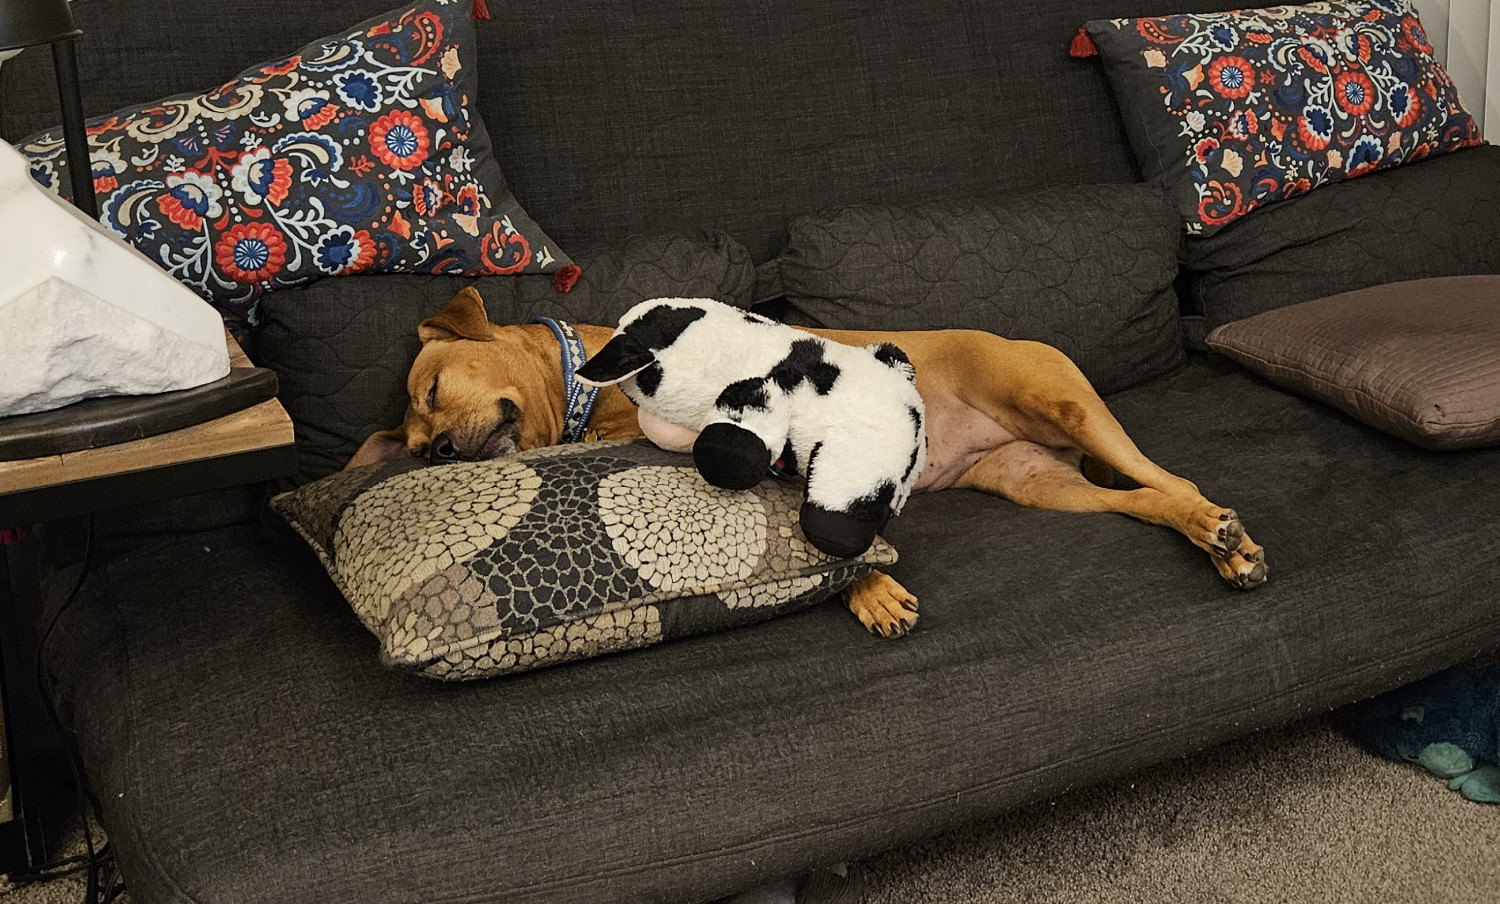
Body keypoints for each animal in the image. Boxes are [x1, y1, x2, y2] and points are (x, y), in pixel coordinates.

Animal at [351, 289, 1266, 635]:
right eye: (416, 447)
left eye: (432, 385)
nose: (434, 449)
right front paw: (867, 587)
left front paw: (869, 585)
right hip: (1038, 482)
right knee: (1143, 500)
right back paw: (1210, 539)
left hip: (1060, 401)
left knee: (1172, 477)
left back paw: (1219, 529)